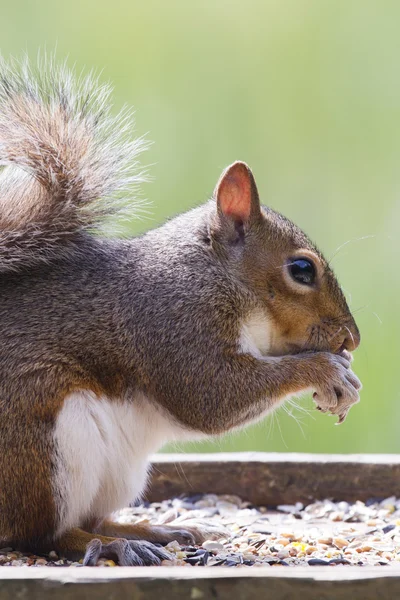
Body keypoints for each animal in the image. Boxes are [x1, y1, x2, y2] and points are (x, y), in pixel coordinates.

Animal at [0, 56, 360, 568]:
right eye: (301, 269)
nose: (352, 340)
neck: (213, 274)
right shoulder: (171, 324)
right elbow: (209, 395)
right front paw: (324, 369)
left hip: (115, 471)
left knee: (91, 518)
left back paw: (155, 529)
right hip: (44, 443)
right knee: (42, 535)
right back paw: (111, 545)